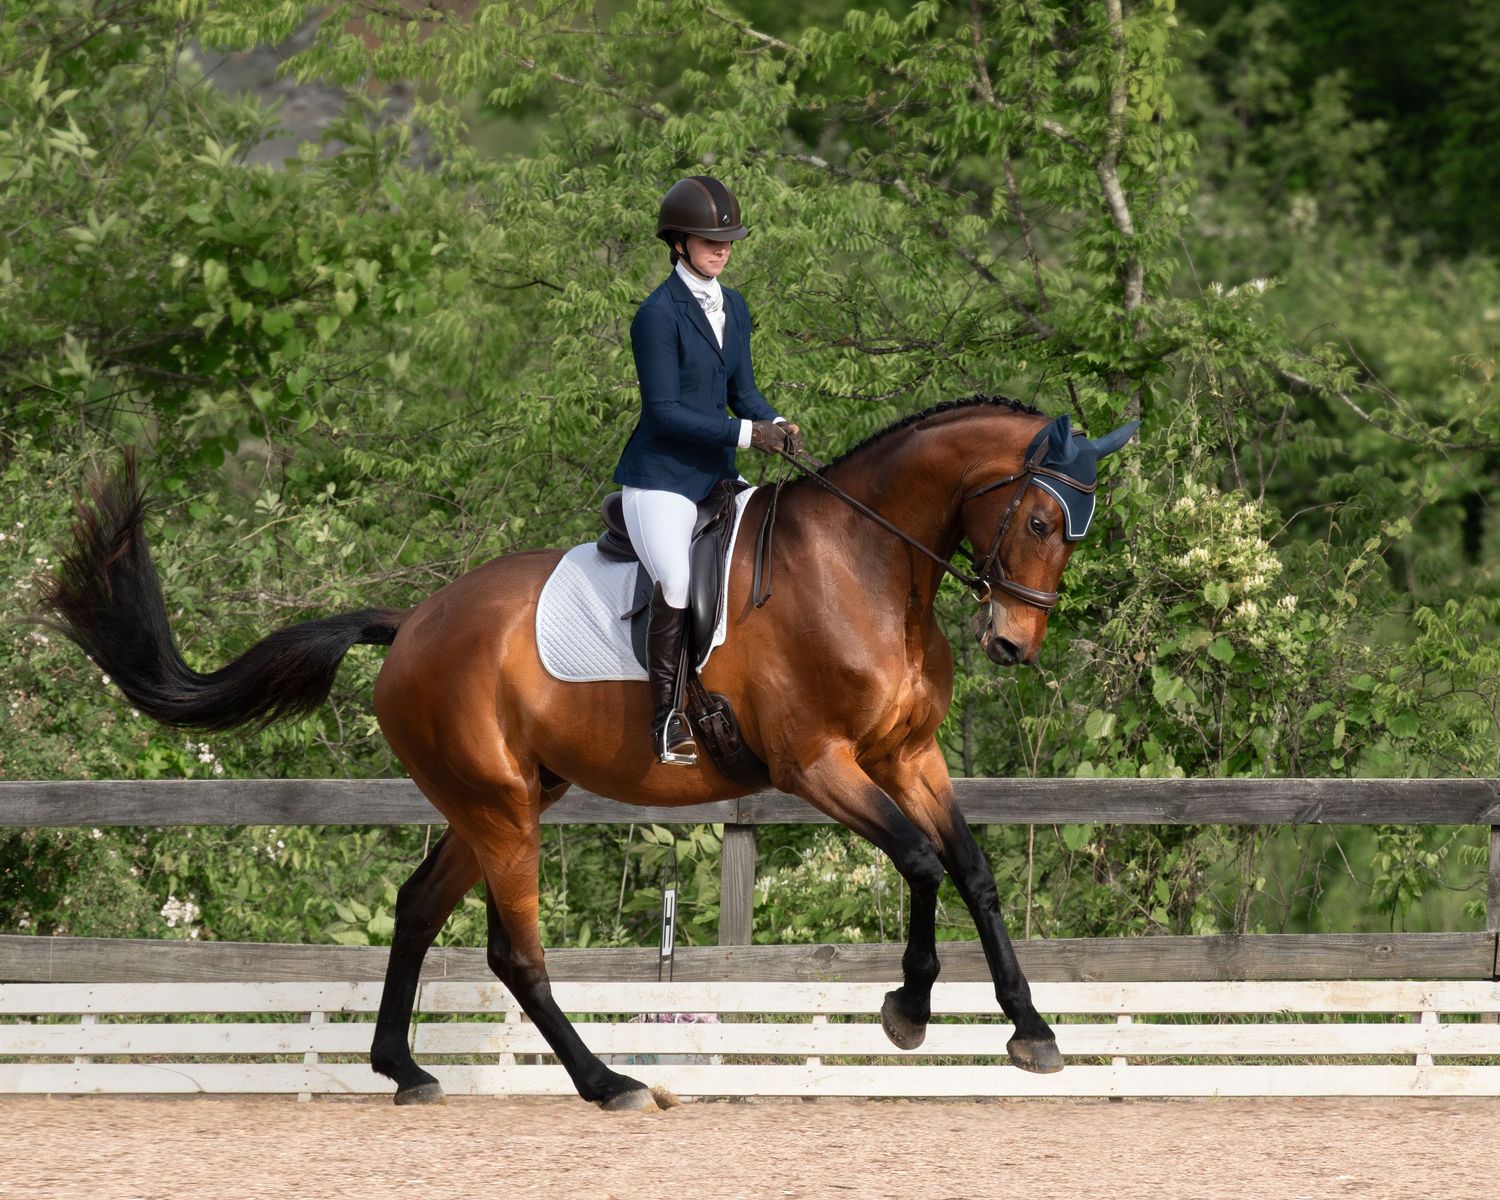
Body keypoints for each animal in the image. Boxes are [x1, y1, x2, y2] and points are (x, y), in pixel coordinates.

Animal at [44, 395, 1137, 1111]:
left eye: (1075, 530)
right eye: (1040, 517)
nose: (1013, 643)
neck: (866, 569)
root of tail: (412, 626)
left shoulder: (909, 753)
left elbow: (972, 869)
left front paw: (1033, 1033)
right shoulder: (817, 765)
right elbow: (917, 861)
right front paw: (907, 1010)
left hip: (498, 798)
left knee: (417, 908)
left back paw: (406, 1070)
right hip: (499, 807)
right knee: (513, 952)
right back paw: (607, 1082)